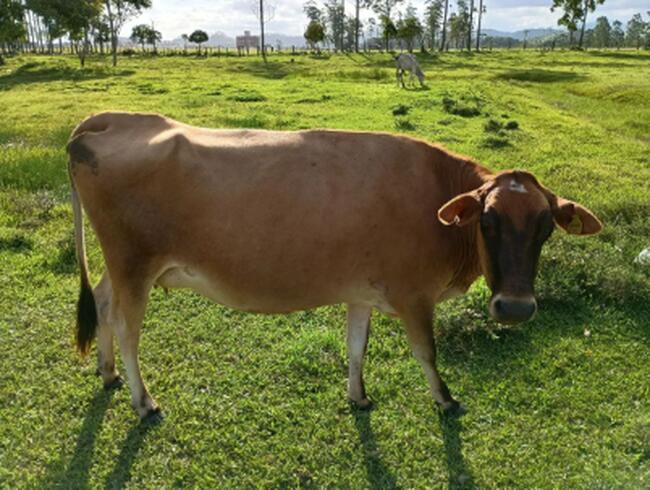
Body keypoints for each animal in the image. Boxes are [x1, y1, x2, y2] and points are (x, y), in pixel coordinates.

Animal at [67, 111, 602, 420]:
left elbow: (356, 346)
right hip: (134, 263)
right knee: (126, 326)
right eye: (487, 221)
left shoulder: (359, 291)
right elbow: (426, 353)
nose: (515, 308)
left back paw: (108, 372)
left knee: (102, 301)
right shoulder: (414, 296)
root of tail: (112, 119)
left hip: (124, 266)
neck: (434, 197)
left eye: (545, 226)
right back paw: (143, 401)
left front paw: (358, 395)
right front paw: (446, 400)